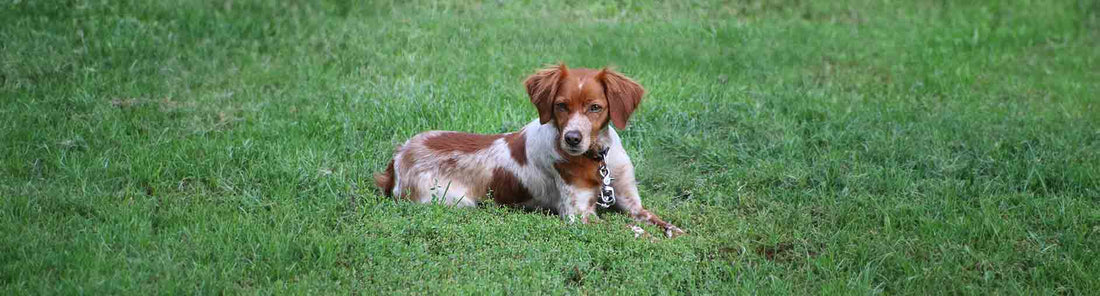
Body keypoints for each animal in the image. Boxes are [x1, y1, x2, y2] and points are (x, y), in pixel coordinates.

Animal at [378, 63, 686, 236]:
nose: (572, 138)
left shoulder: (632, 203)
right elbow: (627, 229)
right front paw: (651, 240)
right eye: (561, 105)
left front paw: (677, 233)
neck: (597, 158)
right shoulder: (578, 215)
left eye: (595, 107)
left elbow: (660, 222)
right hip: (454, 200)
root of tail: (399, 155)